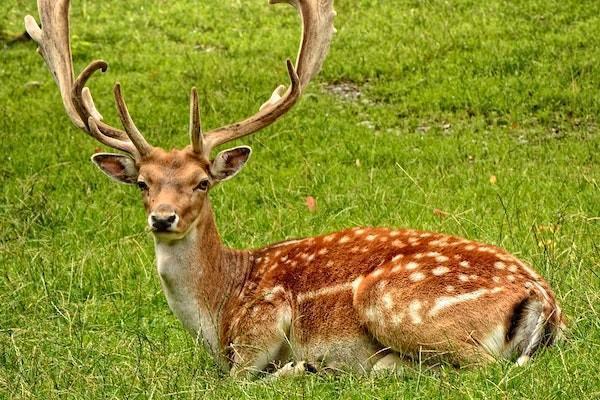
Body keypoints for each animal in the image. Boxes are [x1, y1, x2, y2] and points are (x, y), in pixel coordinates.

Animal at [25, 0, 564, 378]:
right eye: (143, 182)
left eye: (202, 182)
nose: (163, 217)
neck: (219, 307)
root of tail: (545, 301)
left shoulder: (262, 321)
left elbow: (239, 378)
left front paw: (297, 366)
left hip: (393, 301)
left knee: (479, 368)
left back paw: (359, 367)